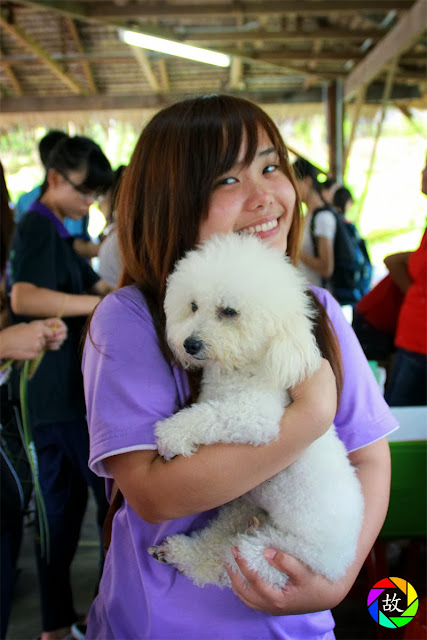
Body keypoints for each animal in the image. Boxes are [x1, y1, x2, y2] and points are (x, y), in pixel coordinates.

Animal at [150, 232, 364, 588]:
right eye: (193, 306)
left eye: (229, 311)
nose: (190, 344)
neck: (237, 370)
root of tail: (339, 563)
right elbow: (205, 409)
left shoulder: (257, 416)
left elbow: (210, 416)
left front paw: (171, 436)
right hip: (244, 506)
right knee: (216, 542)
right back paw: (177, 552)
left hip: (274, 553)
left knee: (226, 560)